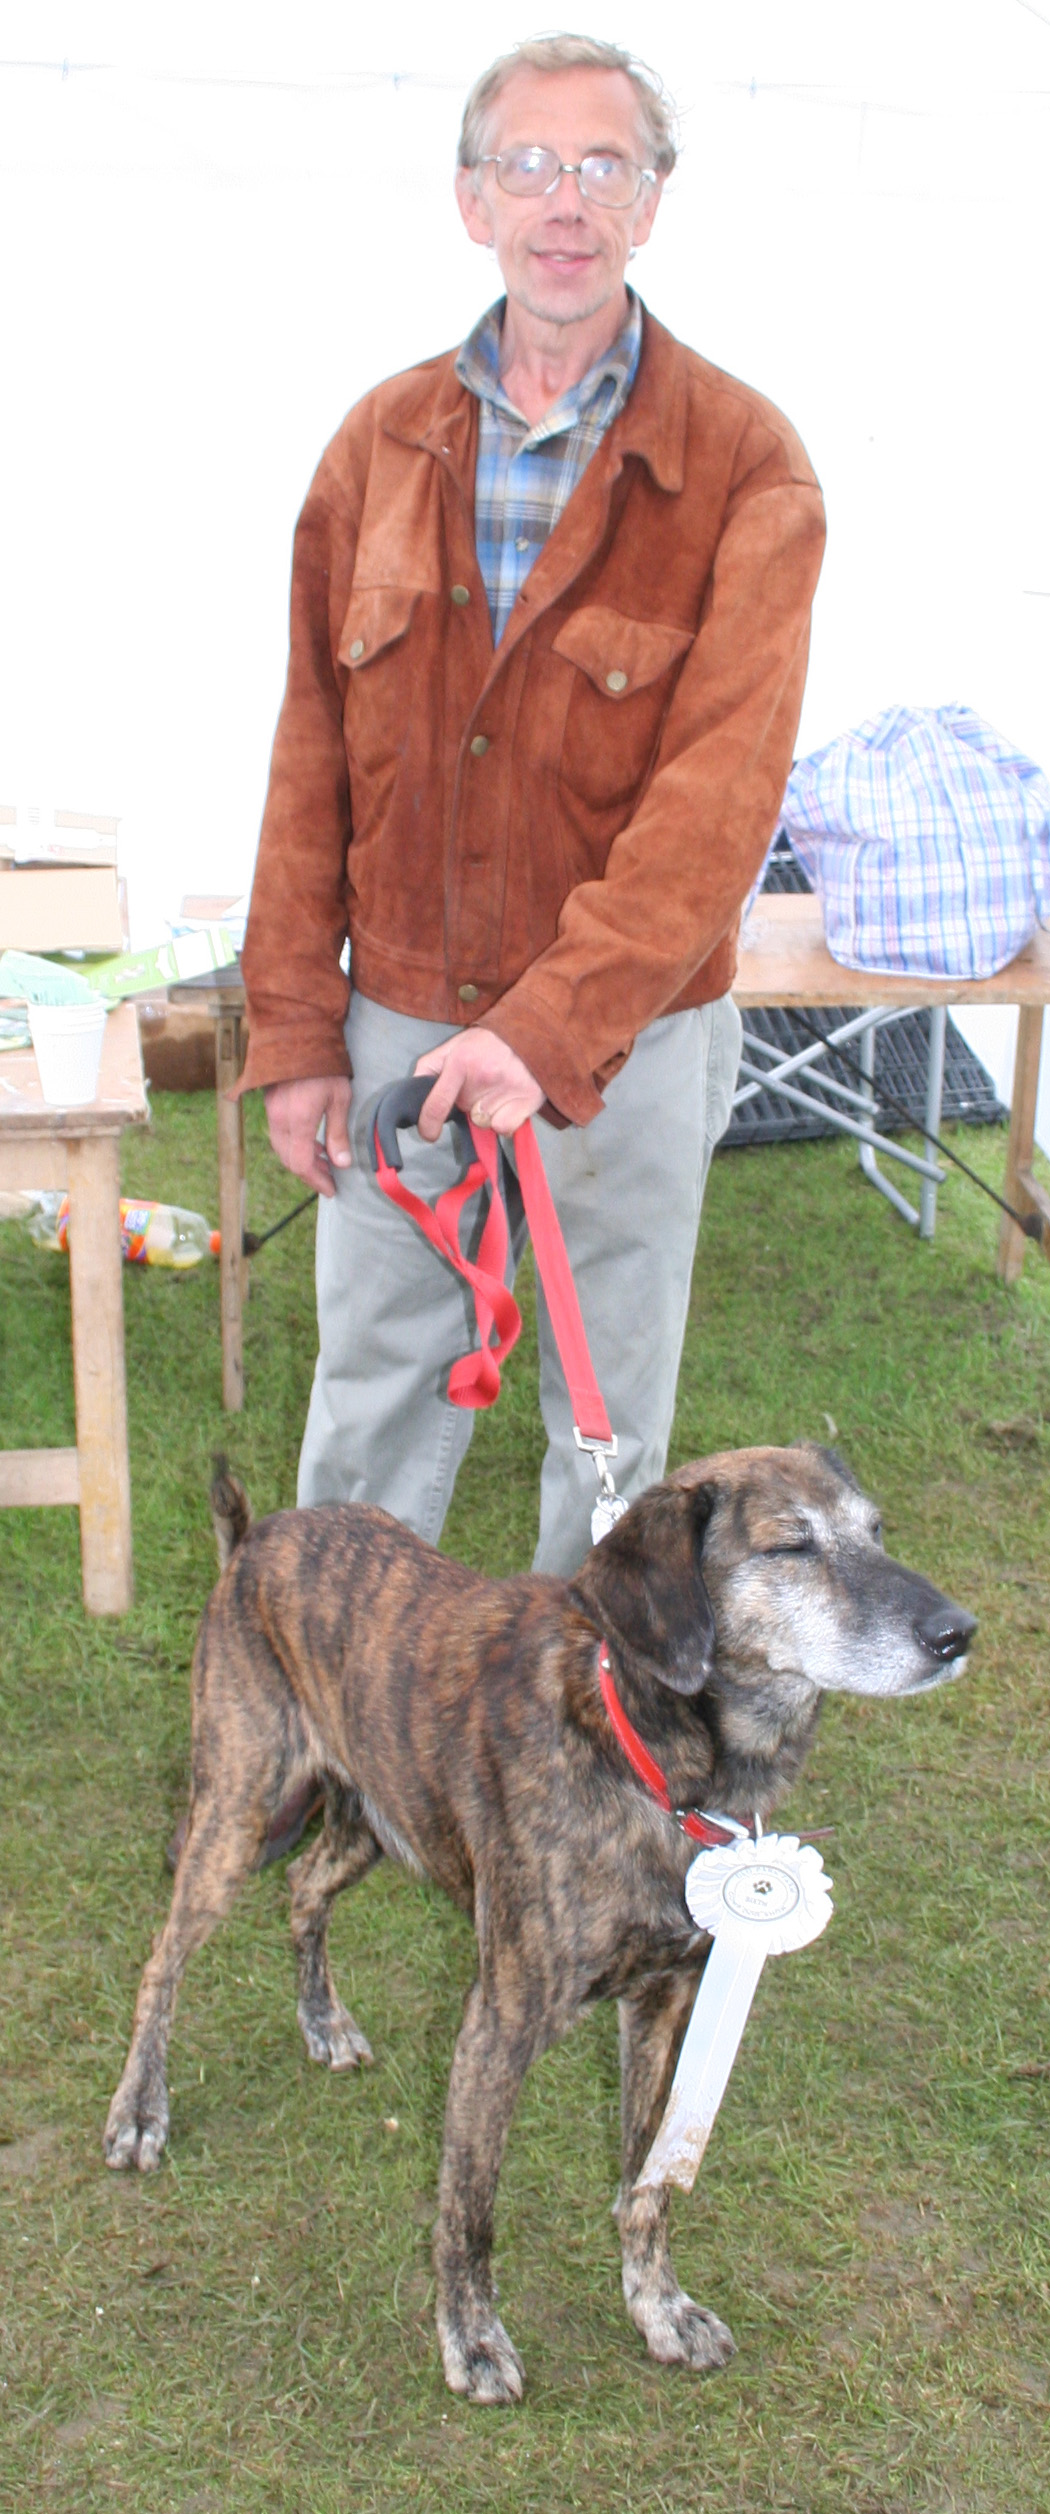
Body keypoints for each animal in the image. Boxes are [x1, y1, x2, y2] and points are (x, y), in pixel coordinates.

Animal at [102, 1448, 969, 2403]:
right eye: (790, 1545)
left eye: (877, 1531)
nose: (957, 1634)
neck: (654, 1761)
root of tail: (255, 1539)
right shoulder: (497, 2027)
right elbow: (468, 2210)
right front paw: (471, 2340)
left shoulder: (665, 2005)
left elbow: (646, 2183)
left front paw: (659, 2309)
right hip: (237, 1814)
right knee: (163, 1959)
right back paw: (139, 2110)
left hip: (374, 1825)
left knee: (303, 1890)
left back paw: (322, 2021)